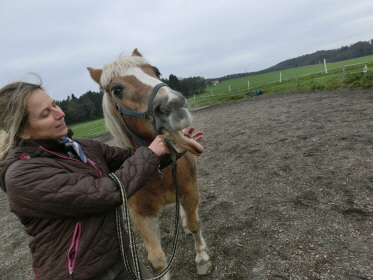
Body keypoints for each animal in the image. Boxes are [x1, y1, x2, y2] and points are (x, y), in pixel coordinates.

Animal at [85, 49, 211, 278]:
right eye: (116, 90)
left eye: (156, 71)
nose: (175, 104)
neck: (161, 168)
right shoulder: (141, 215)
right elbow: (157, 260)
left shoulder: (190, 192)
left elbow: (195, 225)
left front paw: (203, 259)